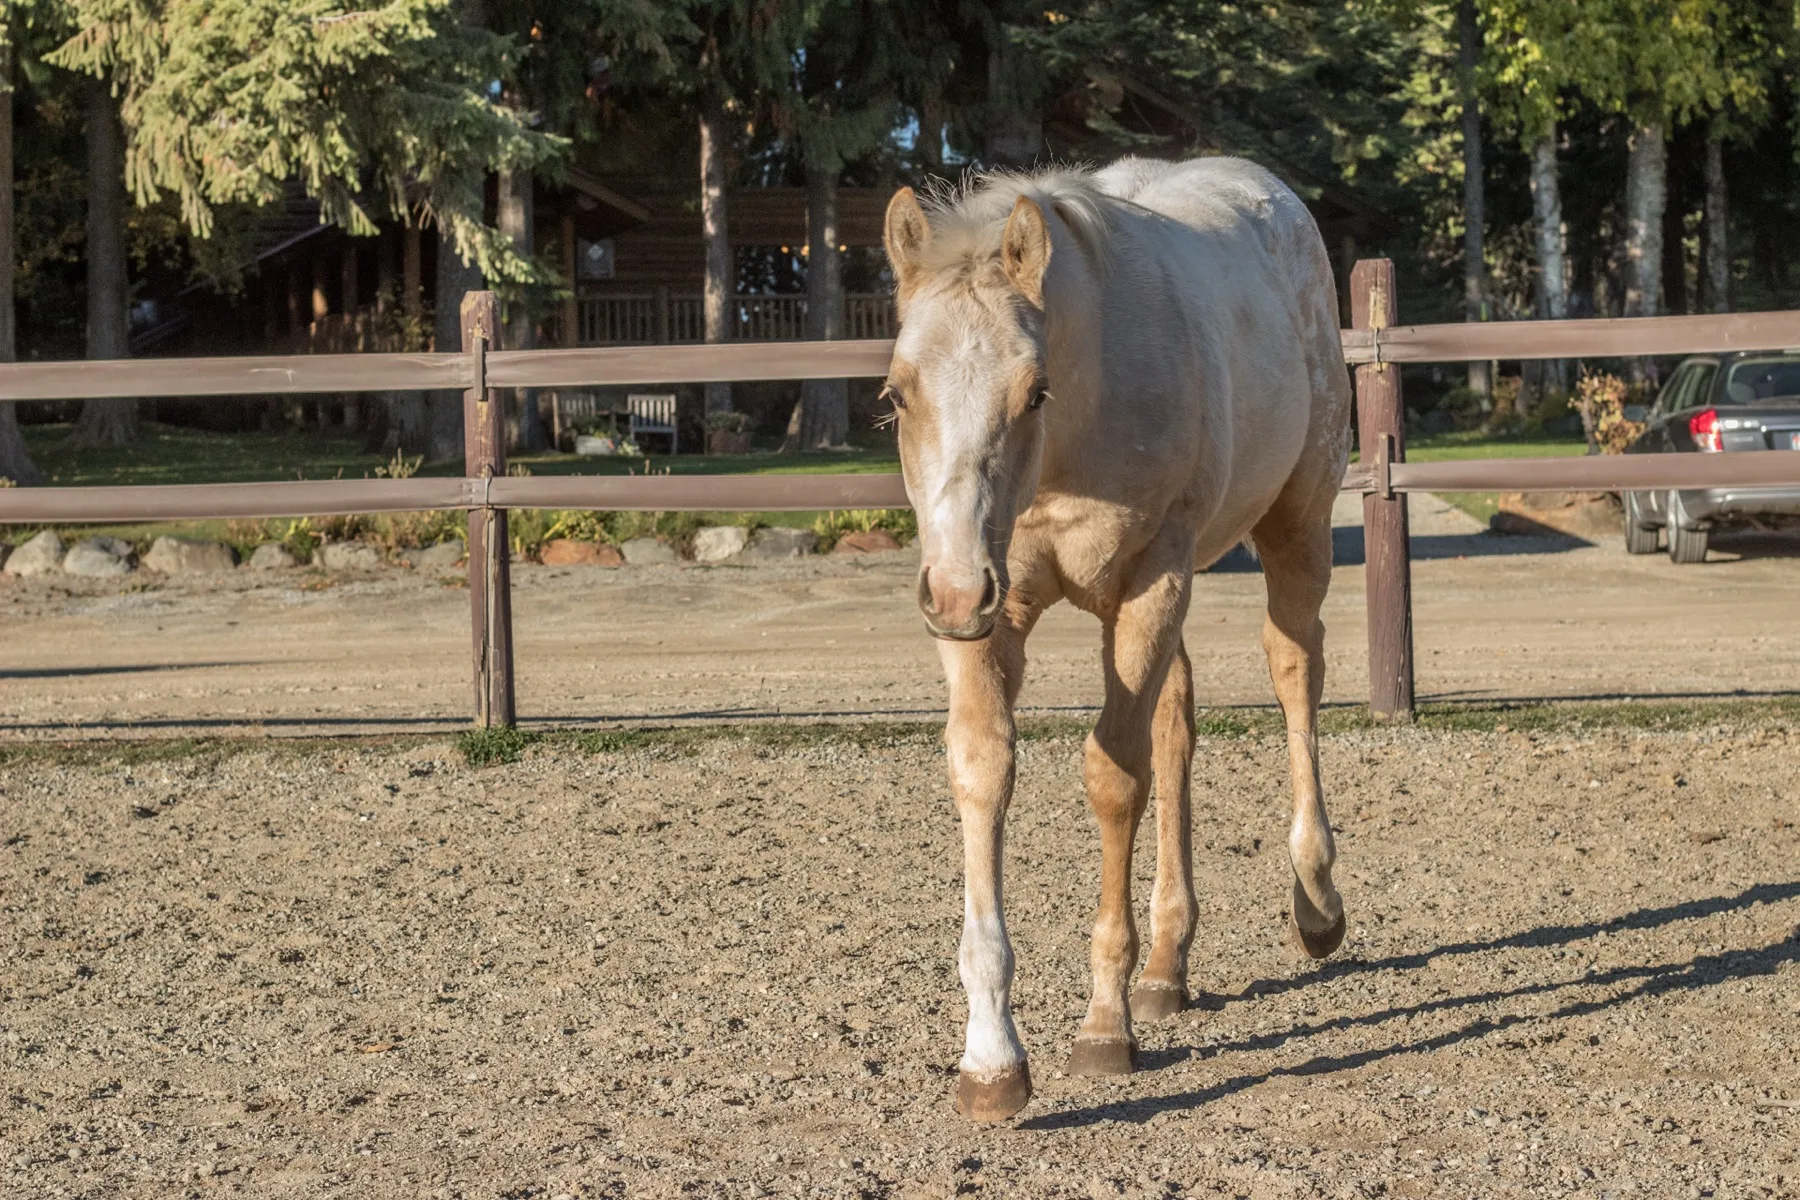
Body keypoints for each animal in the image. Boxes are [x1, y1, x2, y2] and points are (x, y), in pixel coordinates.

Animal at [880, 155, 1353, 1122]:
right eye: (897, 394)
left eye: (1034, 391)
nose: (953, 591)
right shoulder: (989, 605)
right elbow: (985, 768)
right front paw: (991, 1058)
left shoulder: (1150, 576)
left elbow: (1112, 780)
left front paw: (1103, 1025)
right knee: (1175, 722)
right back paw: (1167, 965)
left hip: (1293, 524)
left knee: (1295, 669)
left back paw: (1316, 900)